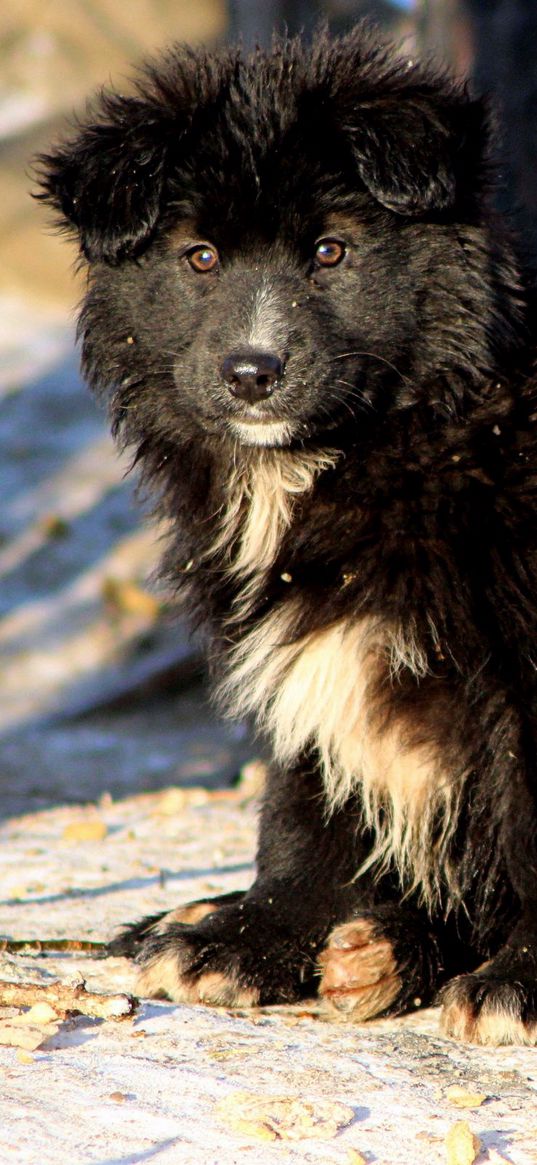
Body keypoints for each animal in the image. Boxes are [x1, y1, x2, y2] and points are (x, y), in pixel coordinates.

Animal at [39, 27, 535, 1048]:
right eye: (198, 258)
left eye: (331, 251)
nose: (251, 372)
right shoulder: (302, 632)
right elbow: (304, 802)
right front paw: (248, 940)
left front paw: (519, 983)